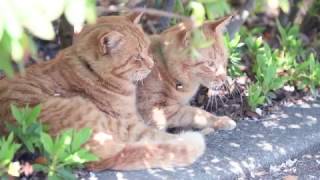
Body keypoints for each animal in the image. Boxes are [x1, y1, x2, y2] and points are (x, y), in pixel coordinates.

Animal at [0, 14, 205, 171]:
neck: (92, 71)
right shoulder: (132, 127)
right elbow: (160, 136)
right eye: (137, 58)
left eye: (147, 50)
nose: (152, 64)